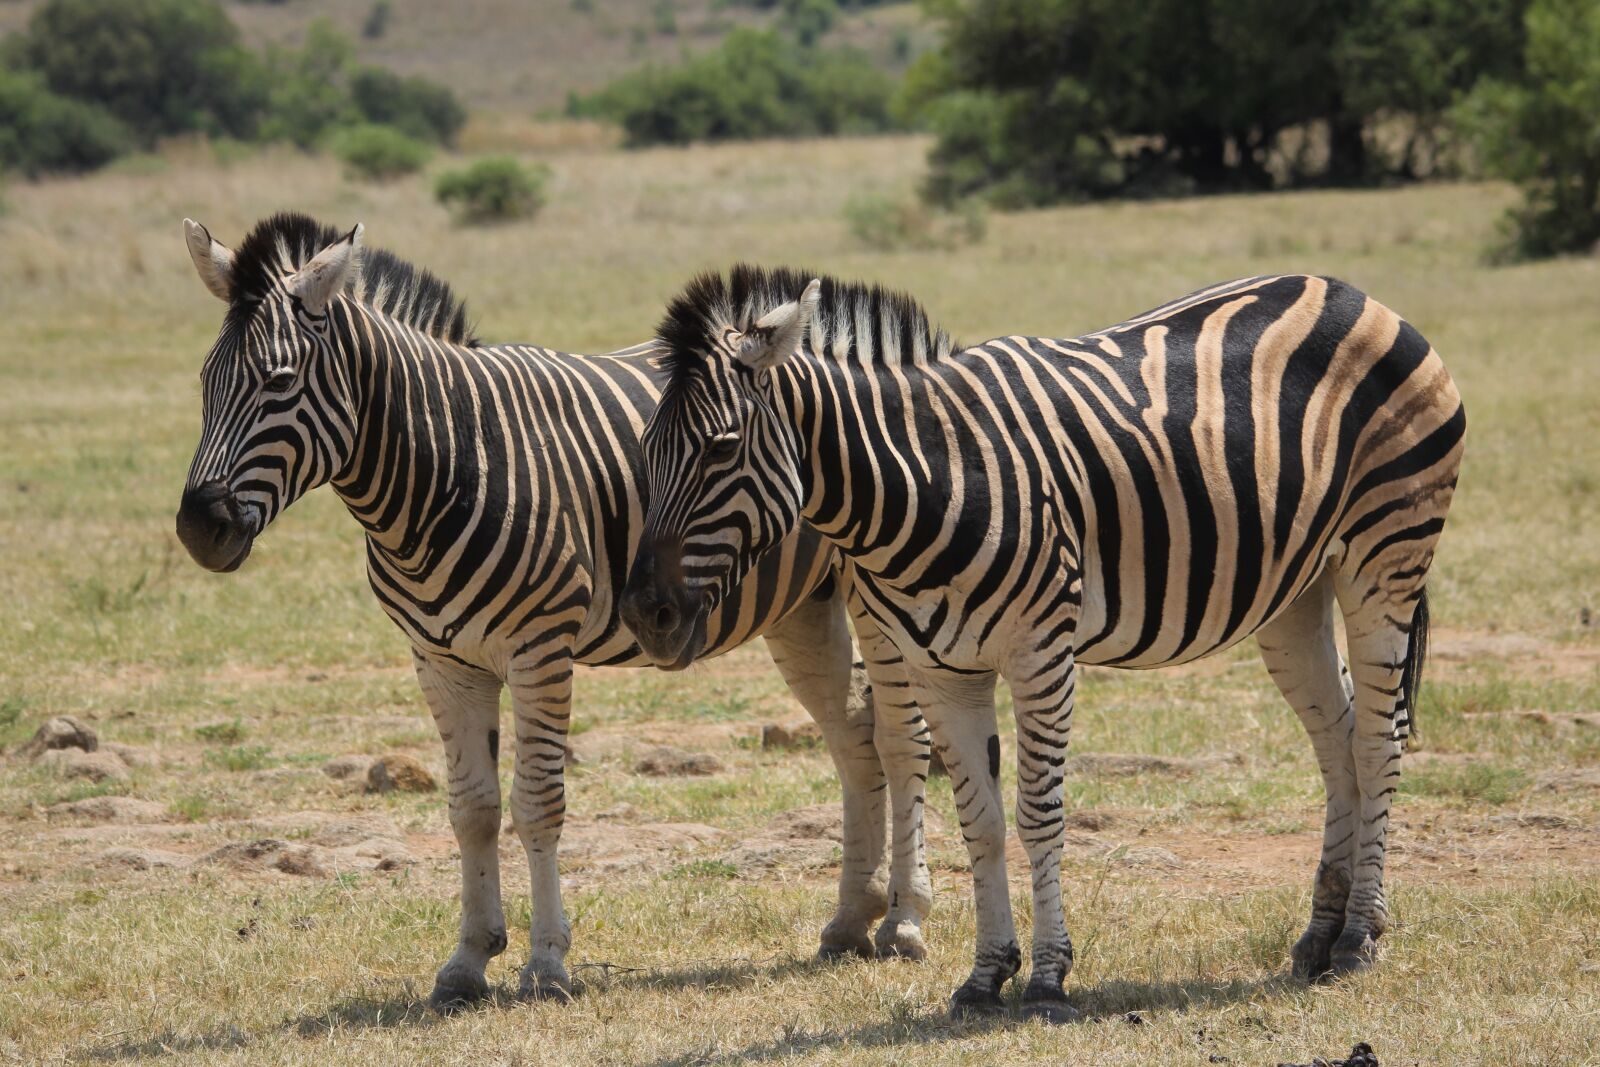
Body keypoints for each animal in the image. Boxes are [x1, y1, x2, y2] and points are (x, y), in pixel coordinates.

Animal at [172, 215, 934, 1008]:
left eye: (279, 382)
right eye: (204, 381)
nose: (199, 527)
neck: (446, 467)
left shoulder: (539, 647)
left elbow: (536, 801)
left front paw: (545, 962)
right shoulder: (439, 657)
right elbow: (472, 807)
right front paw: (468, 959)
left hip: (879, 590)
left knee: (900, 738)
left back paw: (904, 921)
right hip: (800, 607)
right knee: (853, 738)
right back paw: (851, 918)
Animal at [620, 266, 1465, 1022]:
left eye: (722, 446)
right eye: (649, 447)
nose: (644, 612)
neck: (927, 479)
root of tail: (1351, 291)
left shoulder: (1041, 654)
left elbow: (1039, 813)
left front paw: (1050, 977)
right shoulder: (940, 669)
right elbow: (983, 822)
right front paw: (985, 974)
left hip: (1385, 554)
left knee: (1378, 740)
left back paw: (1358, 937)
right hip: (1294, 591)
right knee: (1338, 739)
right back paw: (1322, 932)